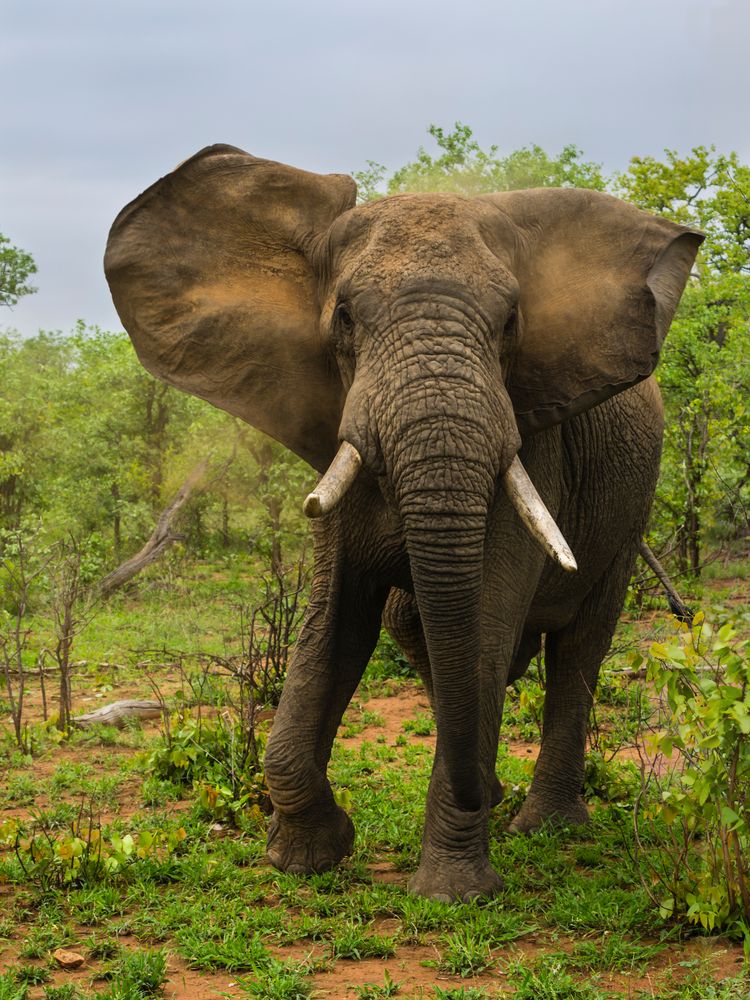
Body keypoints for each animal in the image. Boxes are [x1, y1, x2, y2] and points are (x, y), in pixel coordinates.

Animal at [106, 145, 704, 904]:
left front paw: (453, 892)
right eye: (344, 318)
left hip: (631, 505)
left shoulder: (533, 439)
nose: (481, 794)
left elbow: (485, 622)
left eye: (511, 322)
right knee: (411, 624)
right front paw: (307, 857)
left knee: (580, 647)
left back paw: (544, 825)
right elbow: (334, 619)